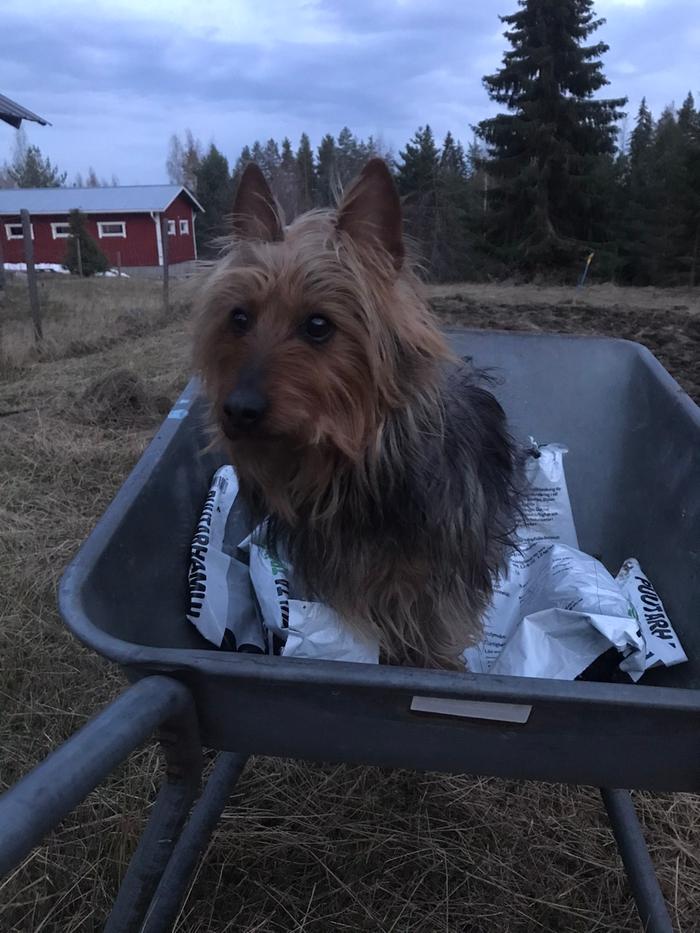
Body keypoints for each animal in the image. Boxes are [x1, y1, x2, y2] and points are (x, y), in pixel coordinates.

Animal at [194, 160, 524, 668]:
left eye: (318, 325)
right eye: (239, 318)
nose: (239, 409)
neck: (351, 471)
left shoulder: (436, 591)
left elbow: (436, 637)